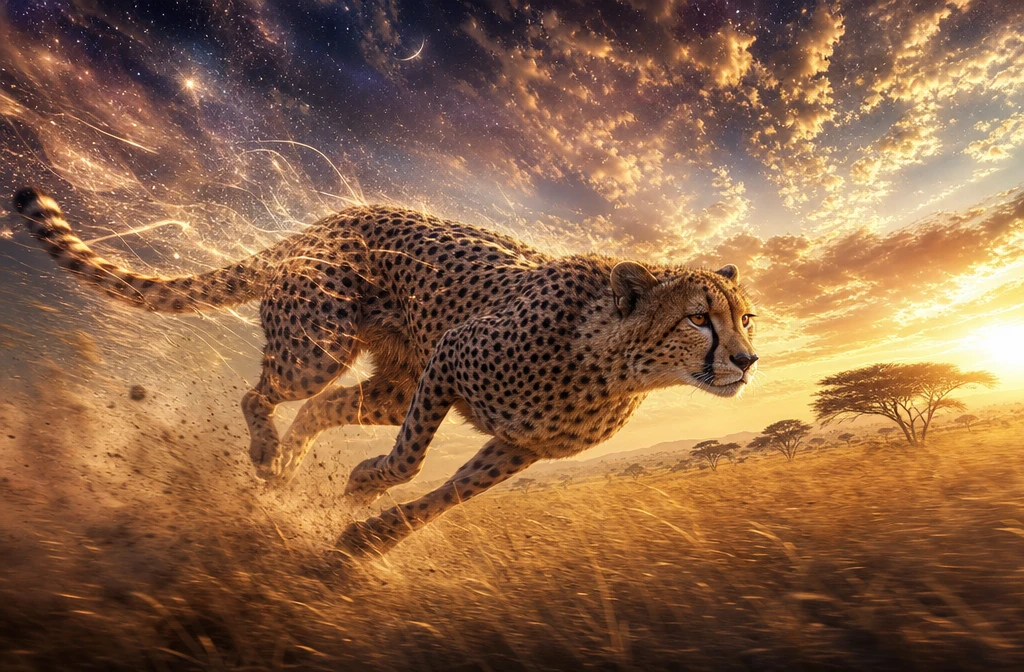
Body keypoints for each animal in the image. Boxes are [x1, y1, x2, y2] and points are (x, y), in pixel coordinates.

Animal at [13, 187, 759, 556]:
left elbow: (449, 495)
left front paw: (369, 537)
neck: (616, 364)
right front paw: (366, 481)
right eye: (699, 319)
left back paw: (288, 469)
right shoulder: (451, 355)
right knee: (262, 395)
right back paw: (266, 457)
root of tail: (336, 215)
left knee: (316, 410)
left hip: (390, 384)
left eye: (747, 318)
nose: (748, 361)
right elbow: (408, 464)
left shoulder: (520, 444)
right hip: (317, 347)